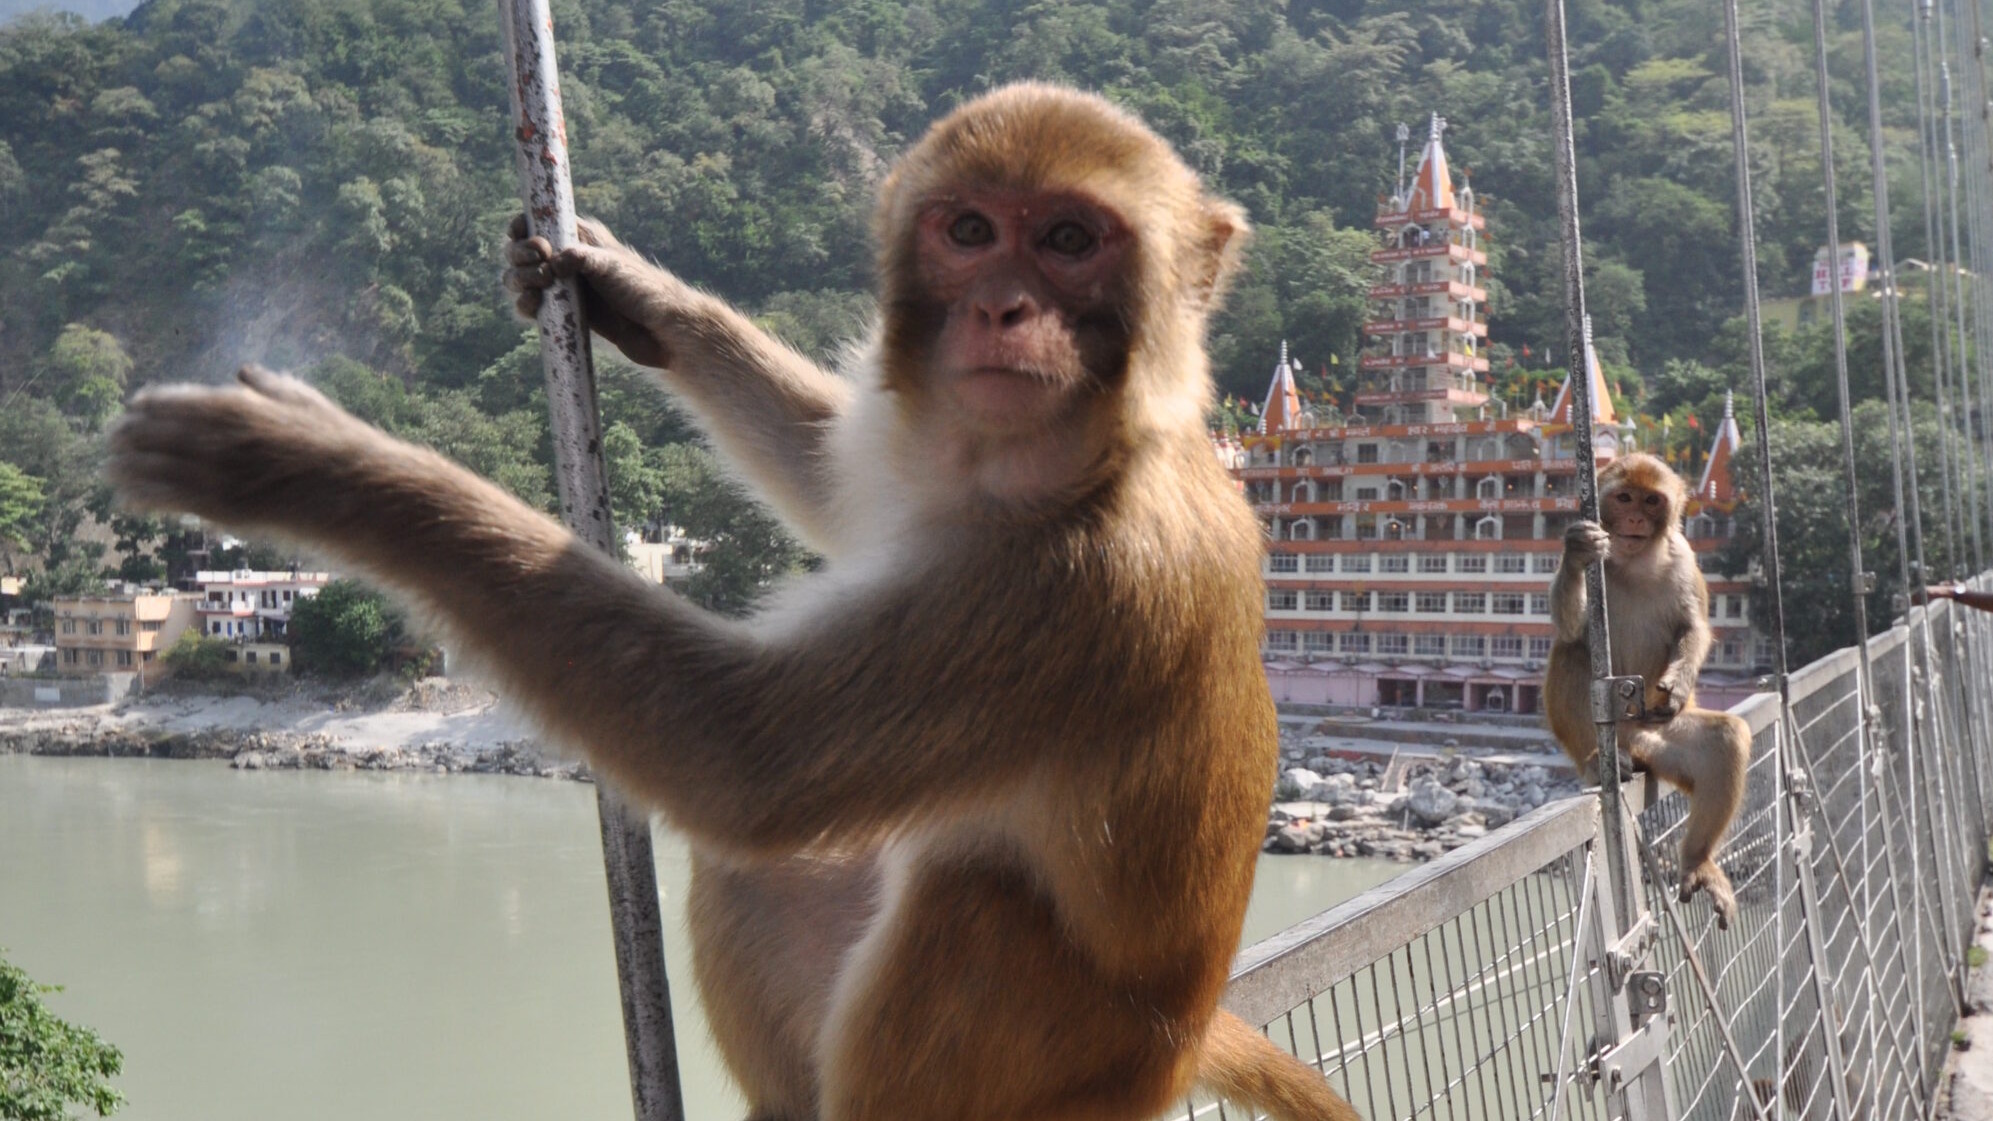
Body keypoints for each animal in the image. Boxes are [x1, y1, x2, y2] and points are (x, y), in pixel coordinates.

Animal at [108, 85, 1365, 1121]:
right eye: (969, 232)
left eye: (1068, 240)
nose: (1004, 310)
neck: (1078, 453)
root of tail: (1183, 1039)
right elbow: (828, 472)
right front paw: (631, 293)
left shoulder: (1073, 594)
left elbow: (741, 756)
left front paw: (313, 466)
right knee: (778, 863)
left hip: (1073, 1062)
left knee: (969, 892)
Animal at [1545, 453, 1752, 929]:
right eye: (1624, 498)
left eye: (1651, 500)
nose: (1636, 517)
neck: (1634, 561)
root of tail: (1628, 740)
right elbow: (1571, 628)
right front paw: (1577, 550)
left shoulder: (1685, 558)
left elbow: (1694, 627)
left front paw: (1677, 685)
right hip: (1612, 734)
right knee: (1572, 652)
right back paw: (1593, 760)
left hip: (1654, 736)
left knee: (1724, 739)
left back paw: (1696, 861)